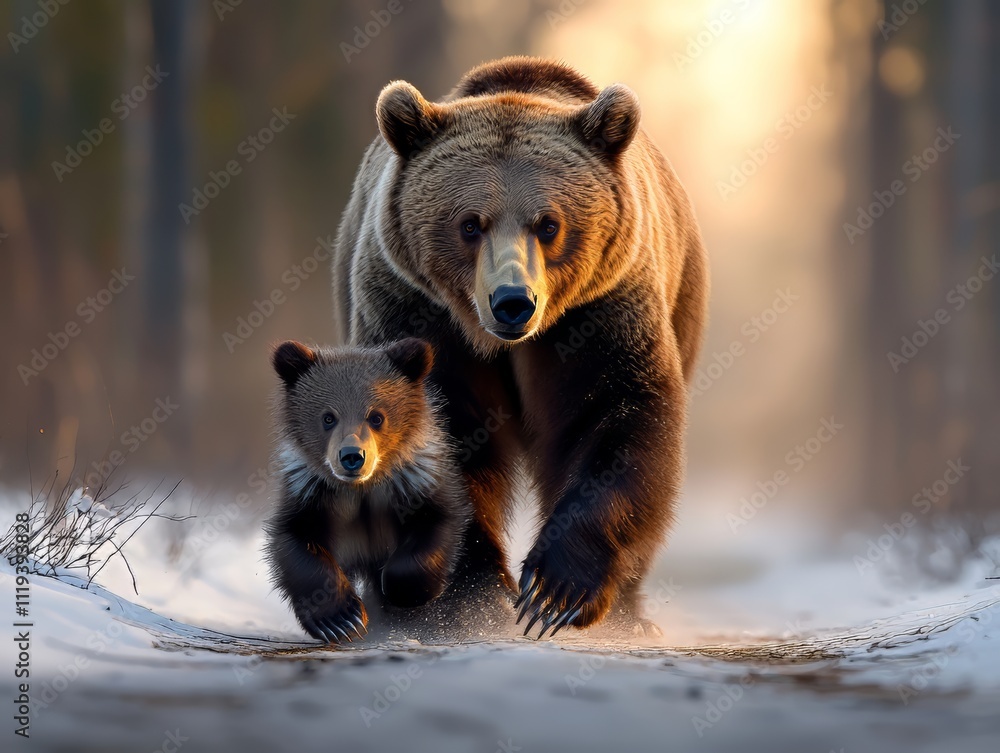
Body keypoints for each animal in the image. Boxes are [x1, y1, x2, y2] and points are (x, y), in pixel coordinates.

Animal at [265, 337, 471, 643]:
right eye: (328, 417)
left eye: (376, 417)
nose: (352, 456)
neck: (361, 491)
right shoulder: (313, 496)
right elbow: (296, 543)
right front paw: (341, 619)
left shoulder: (415, 487)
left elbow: (435, 528)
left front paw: (399, 590)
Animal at [331, 56, 709, 638]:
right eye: (469, 224)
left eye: (548, 224)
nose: (513, 302)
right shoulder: (419, 314)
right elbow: (440, 437)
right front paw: (470, 600)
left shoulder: (600, 313)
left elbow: (618, 419)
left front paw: (555, 592)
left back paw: (631, 617)